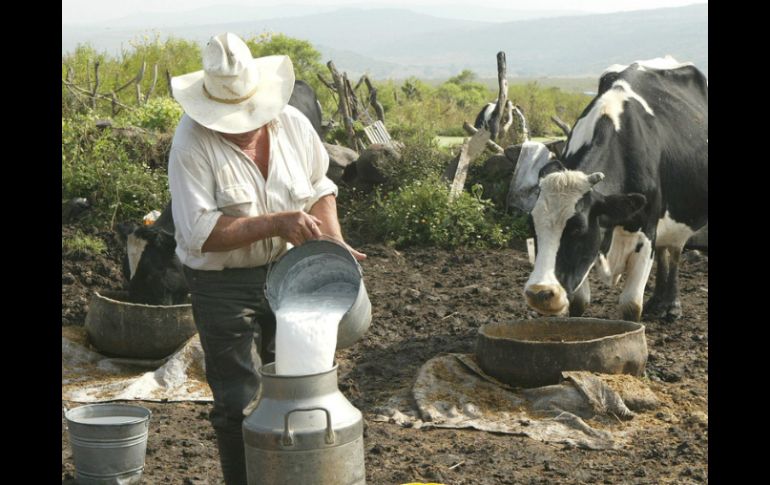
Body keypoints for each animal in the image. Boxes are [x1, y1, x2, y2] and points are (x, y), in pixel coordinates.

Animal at [524, 57, 704, 322]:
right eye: (532, 225)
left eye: (578, 228)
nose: (539, 293)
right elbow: (579, 302)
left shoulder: (647, 230)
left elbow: (630, 306)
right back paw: (657, 303)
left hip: (679, 219)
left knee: (673, 251)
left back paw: (671, 306)